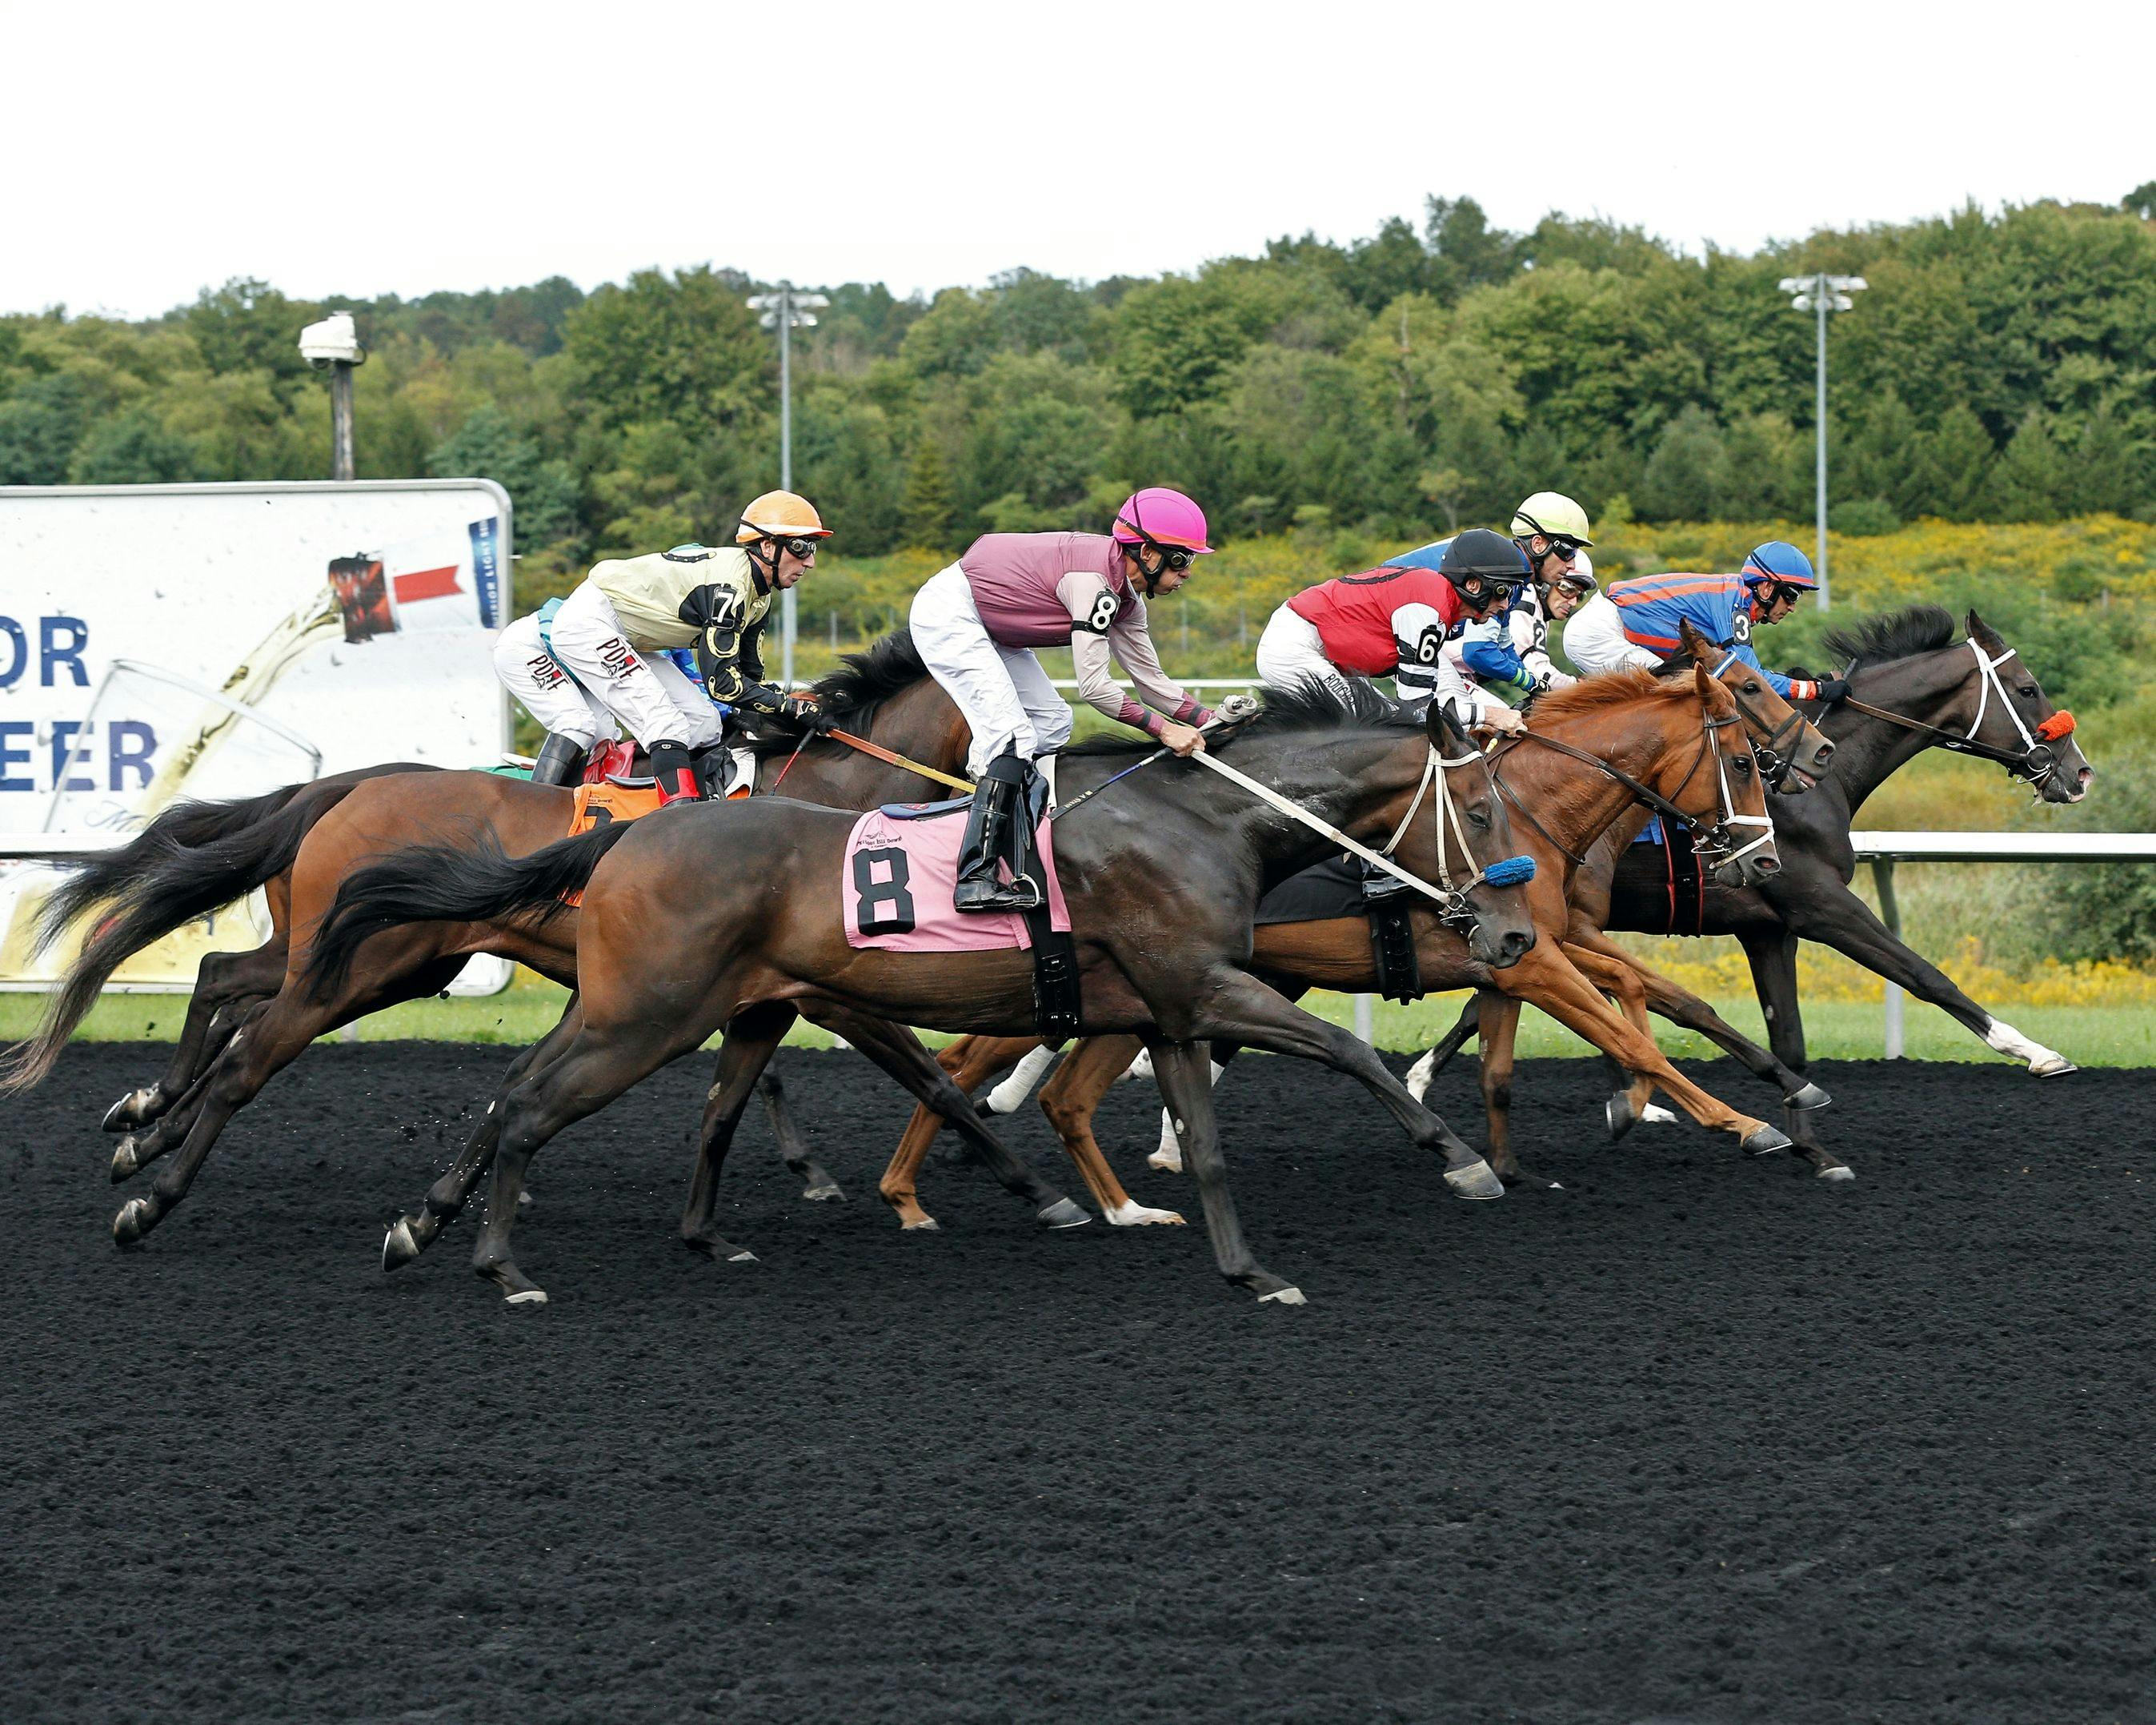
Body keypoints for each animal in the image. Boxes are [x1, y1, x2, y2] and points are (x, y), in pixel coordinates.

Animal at [319, 681, 1543, 1302]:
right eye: (1484, 811)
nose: (1518, 930)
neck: (1202, 820)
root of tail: (627, 841)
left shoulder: (1172, 1008)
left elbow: (1204, 1144)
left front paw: (1248, 1269)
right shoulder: (1204, 984)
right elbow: (1349, 1051)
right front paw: (1464, 1160)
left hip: (696, 1005)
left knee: (614, 1102)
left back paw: (457, 1227)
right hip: (647, 1014)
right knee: (529, 1103)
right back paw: (499, 1263)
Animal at [880, 651, 1819, 1225]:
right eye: (1741, 750)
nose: (1765, 853)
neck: (1530, 808)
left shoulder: (1521, 948)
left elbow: (1593, 1024)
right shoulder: (1534, 954)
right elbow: (1629, 1027)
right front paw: (1743, 1122)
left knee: (1050, 1086)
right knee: (965, 1058)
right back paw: (933, 1181)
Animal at [1405, 599, 2095, 1181]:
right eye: (2028, 688)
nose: (2080, 771)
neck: (1804, 789)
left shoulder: (1768, 928)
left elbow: (1789, 1037)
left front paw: (1815, 1149)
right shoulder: (1821, 906)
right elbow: (1926, 975)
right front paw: (2032, 1049)